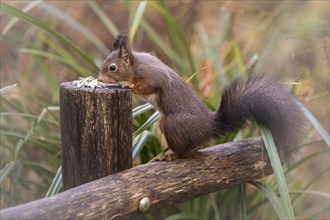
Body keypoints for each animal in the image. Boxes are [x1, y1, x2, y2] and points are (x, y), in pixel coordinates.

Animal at [97, 33, 304, 162]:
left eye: (112, 67)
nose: (99, 79)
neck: (135, 64)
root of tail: (209, 127)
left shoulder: (152, 74)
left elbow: (152, 84)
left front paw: (128, 85)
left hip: (172, 123)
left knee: (184, 149)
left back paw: (171, 155)